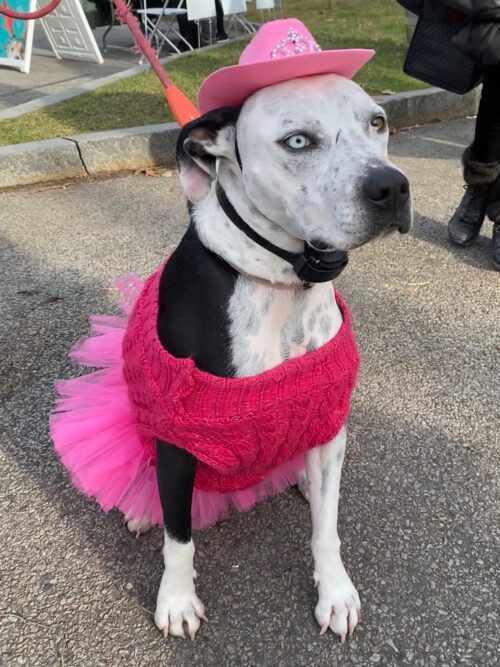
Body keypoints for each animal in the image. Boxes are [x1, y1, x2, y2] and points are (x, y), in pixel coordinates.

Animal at [131, 73, 412, 640]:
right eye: (297, 141)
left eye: (377, 122)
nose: (392, 186)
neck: (284, 278)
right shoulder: (178, 437)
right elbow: (179, 538)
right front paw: (176, 600)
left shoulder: (325, 416)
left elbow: (327, 528)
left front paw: (335, 592)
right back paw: (142, 508)